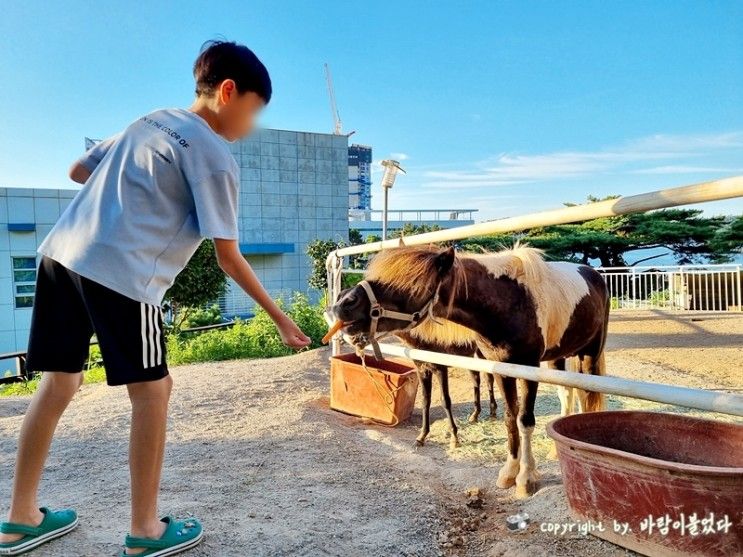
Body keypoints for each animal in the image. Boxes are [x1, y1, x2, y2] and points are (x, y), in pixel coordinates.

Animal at [332, 245, 612, 498]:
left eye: (411, 282)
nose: (343, 303)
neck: (509, 302)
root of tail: (593, 274)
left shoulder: (528, 368)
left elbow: (525, 420)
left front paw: (526, 479)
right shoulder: (501, 369)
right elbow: (510, 418)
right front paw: (508, 473)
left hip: (588, 354)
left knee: (586, 397)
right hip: (558, 358)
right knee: (567, 394)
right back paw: (555, 451)